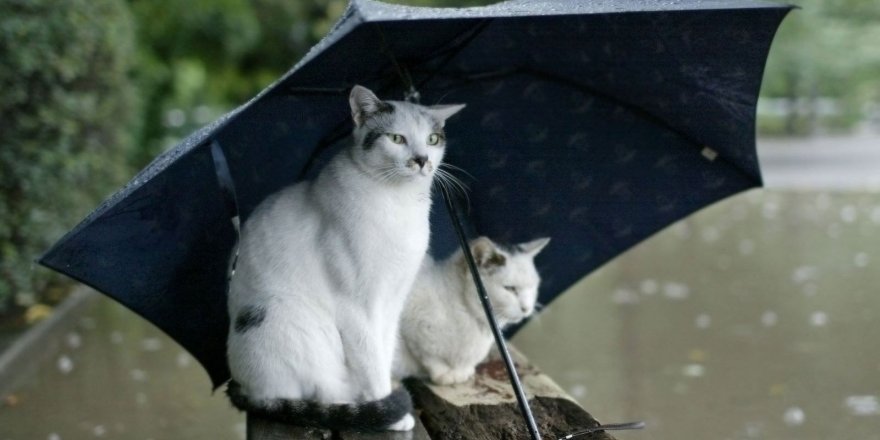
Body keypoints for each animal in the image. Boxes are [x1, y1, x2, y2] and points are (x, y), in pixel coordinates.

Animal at [223, 85, 464, 430]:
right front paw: (390, 413)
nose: (422, 160)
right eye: (397, 138)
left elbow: (384, 351)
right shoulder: (356, 307)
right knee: (322, 393)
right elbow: (371, 361)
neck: (399, 202)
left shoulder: (393, 301)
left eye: (432, 139)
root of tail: (245, 387)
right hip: (291, 318)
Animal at [394, 235, 548, 384]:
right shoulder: (411, 326)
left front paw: (461, 372)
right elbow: (429, 356)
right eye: (510, 289)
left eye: (533, 287)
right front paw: (444, 374)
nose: (526, 308)